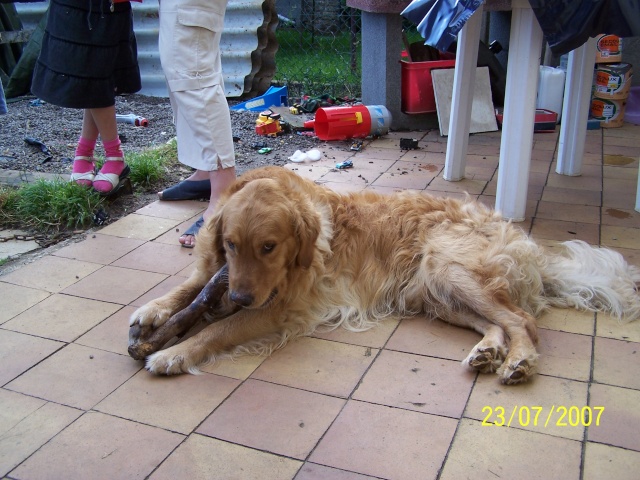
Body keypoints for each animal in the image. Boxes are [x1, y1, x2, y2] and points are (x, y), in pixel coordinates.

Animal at [131, 167, 640, 384]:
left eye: (269, 247)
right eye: (231, 244)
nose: (237, 297)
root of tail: (526, 240)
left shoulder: (279, 310)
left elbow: (218, 331)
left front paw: (174, 353)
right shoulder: (222, 273)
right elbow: (188, 286)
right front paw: (151, 312)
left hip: (447, 267)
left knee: (524, 321)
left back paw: (519, 361)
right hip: (433, 290)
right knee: (497, 321)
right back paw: (488, 352)